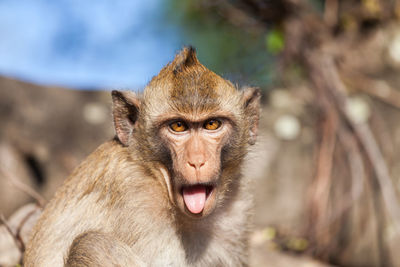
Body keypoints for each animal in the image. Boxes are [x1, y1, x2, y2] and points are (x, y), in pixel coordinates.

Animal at [23, 47, 260, 266]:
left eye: (212, 124)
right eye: (178, 126)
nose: (197, 161)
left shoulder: (235, 211)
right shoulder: (135, 197)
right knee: (93, 244)